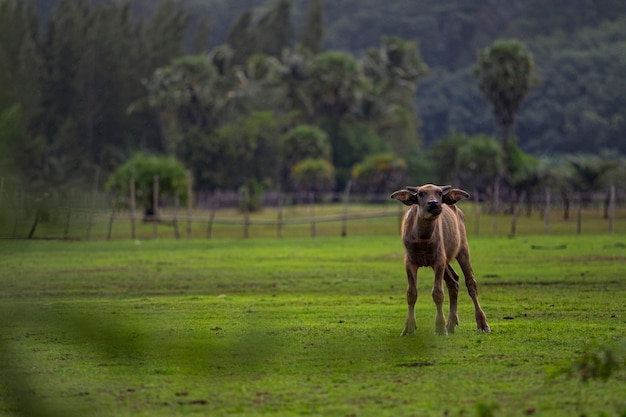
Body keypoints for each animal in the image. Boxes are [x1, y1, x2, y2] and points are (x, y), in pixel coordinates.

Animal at [390, 184, 488, 334]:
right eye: (420, 194)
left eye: (440, 193)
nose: (434, 204)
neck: (423, 238)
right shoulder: (410, 262)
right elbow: (411, 293)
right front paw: (409, 328)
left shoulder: (438, 261)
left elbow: (438, 293)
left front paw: (440, 328)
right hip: (446, 260)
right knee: (453, 281)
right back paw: (451, 324)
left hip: (463, 249)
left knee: (470, 282)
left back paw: (482, 325)